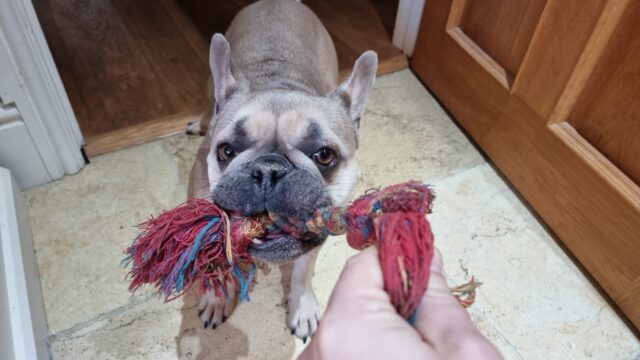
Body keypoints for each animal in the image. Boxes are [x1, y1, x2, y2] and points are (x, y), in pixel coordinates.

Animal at [186, 0, 376, 340]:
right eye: (226, 151)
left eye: (324, 155)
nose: (268, 169)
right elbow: (216, 260)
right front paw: (218, 296)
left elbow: (302, 270)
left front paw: (302, 306)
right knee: (209, 109)